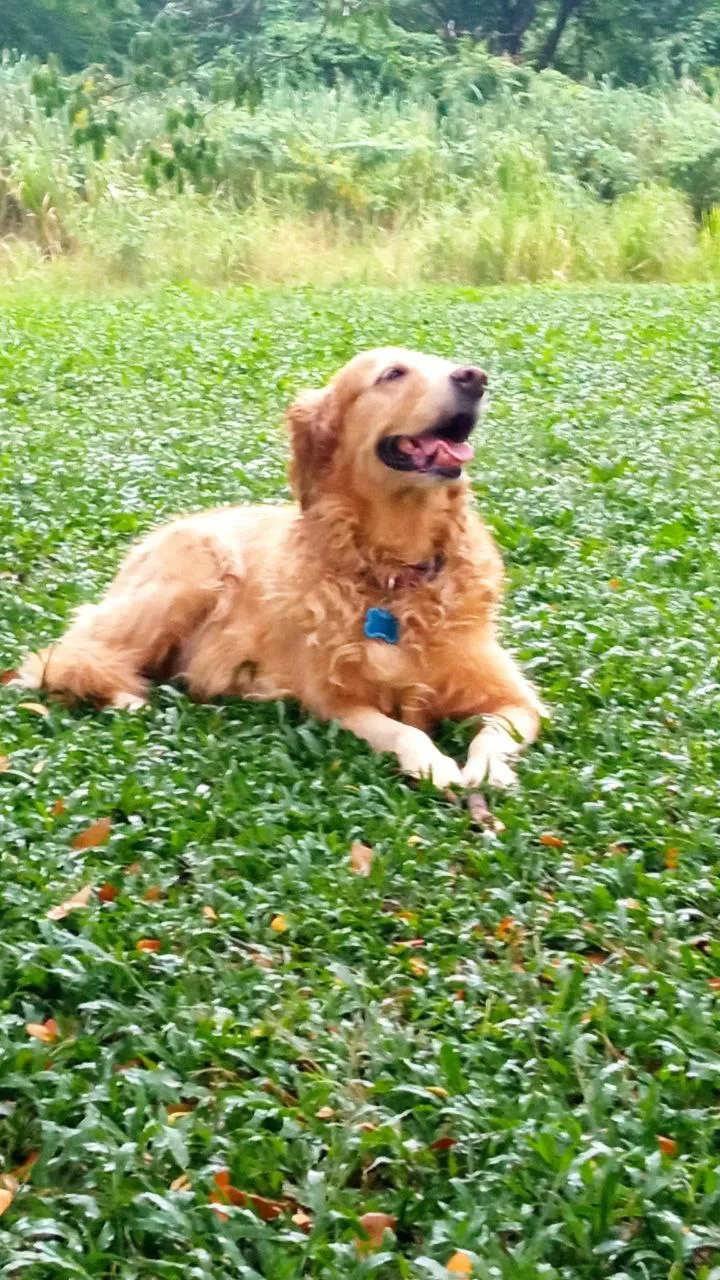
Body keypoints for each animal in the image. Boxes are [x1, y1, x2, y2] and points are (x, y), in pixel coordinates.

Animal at [16, 350, 540, 788]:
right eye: (393, 373)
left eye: (445, 362)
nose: (475, 378)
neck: (395, 573)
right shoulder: (336, 701)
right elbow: (402, 732)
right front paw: (432, 763)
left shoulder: (518, 699)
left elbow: (494, 733)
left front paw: (488, 770)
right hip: (194, 573)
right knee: (63, 658)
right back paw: (128, 698)